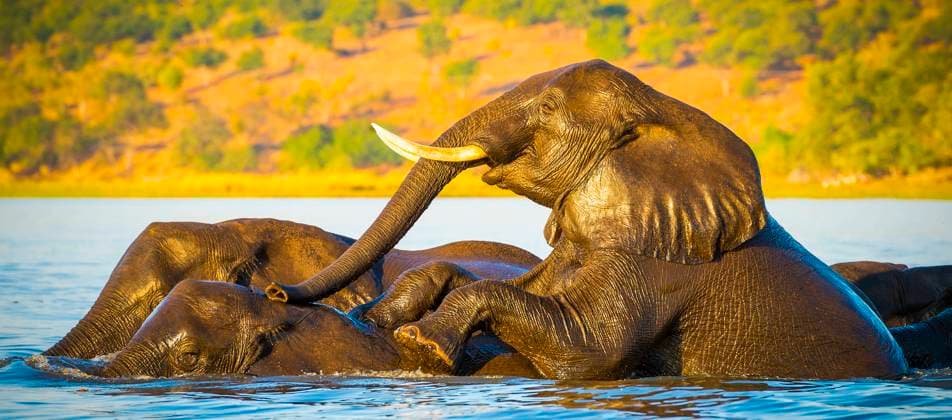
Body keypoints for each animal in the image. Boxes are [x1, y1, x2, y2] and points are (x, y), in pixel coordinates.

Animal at [264, 60, 912, 380]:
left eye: (548, 108)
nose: (276, 291)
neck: (658, 112)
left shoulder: (660, 265)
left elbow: (592, 349)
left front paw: (421, 344)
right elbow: (490, 280)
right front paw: (374, 318)